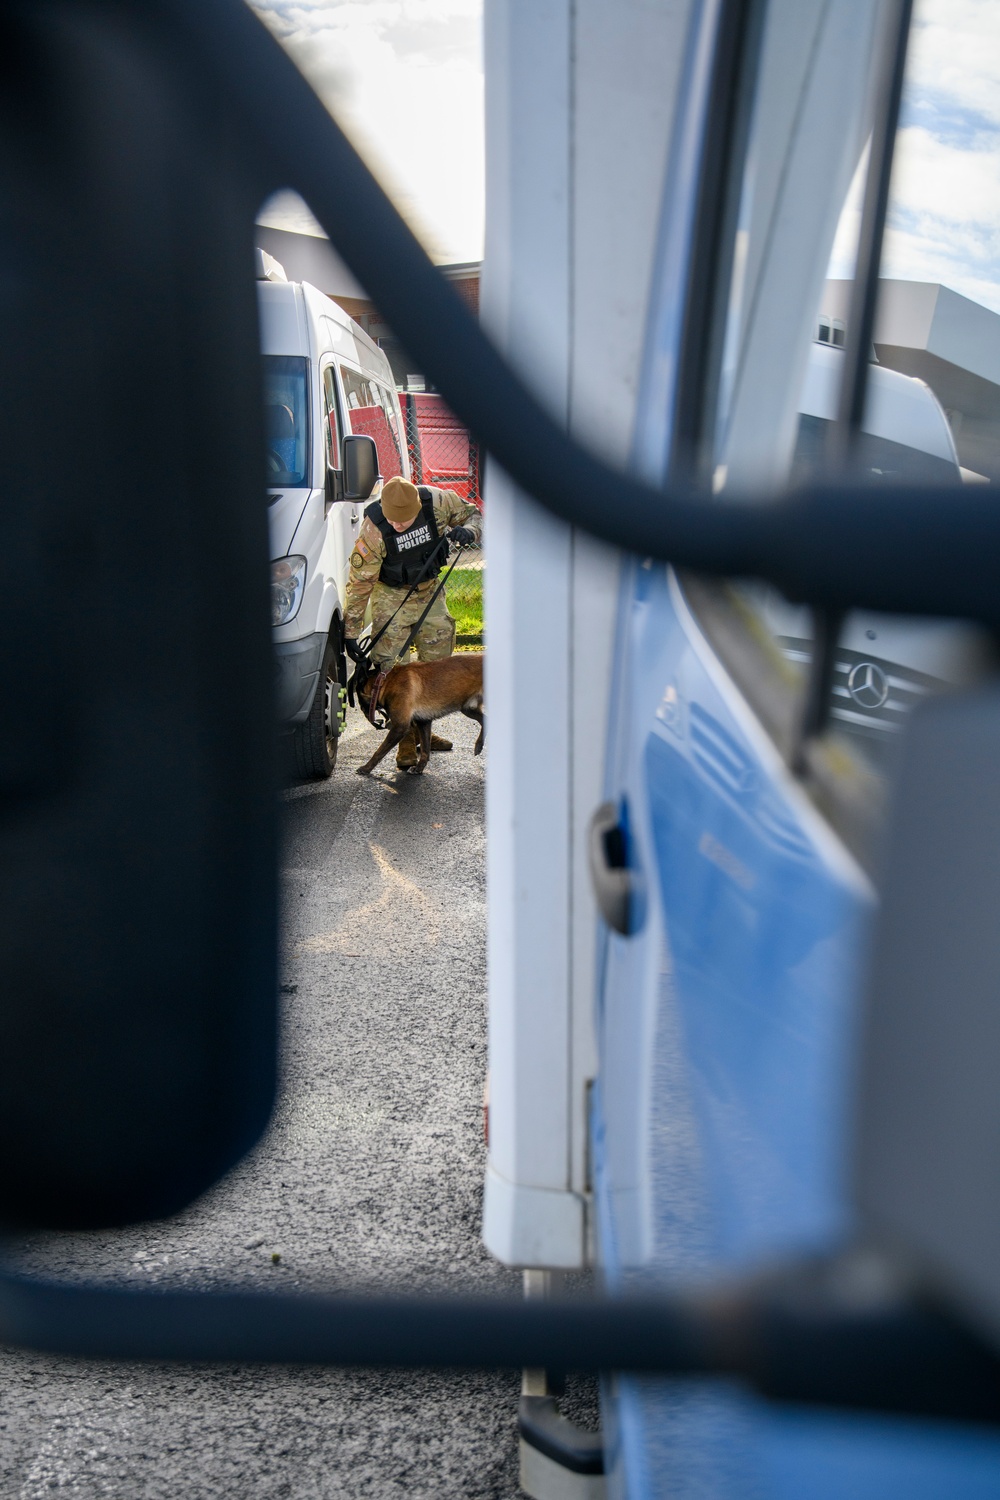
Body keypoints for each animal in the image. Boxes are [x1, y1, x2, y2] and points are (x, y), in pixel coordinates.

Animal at [352, 654, 485, 774]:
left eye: (359, 700)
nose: (362, 710)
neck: (383, 683)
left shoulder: (400, 727)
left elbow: (380, 751)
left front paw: (366, 768)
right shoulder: (423, 722)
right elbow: (425, 749)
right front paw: (419, 768)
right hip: (468, 709)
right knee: (485, 721)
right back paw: (479, 745)